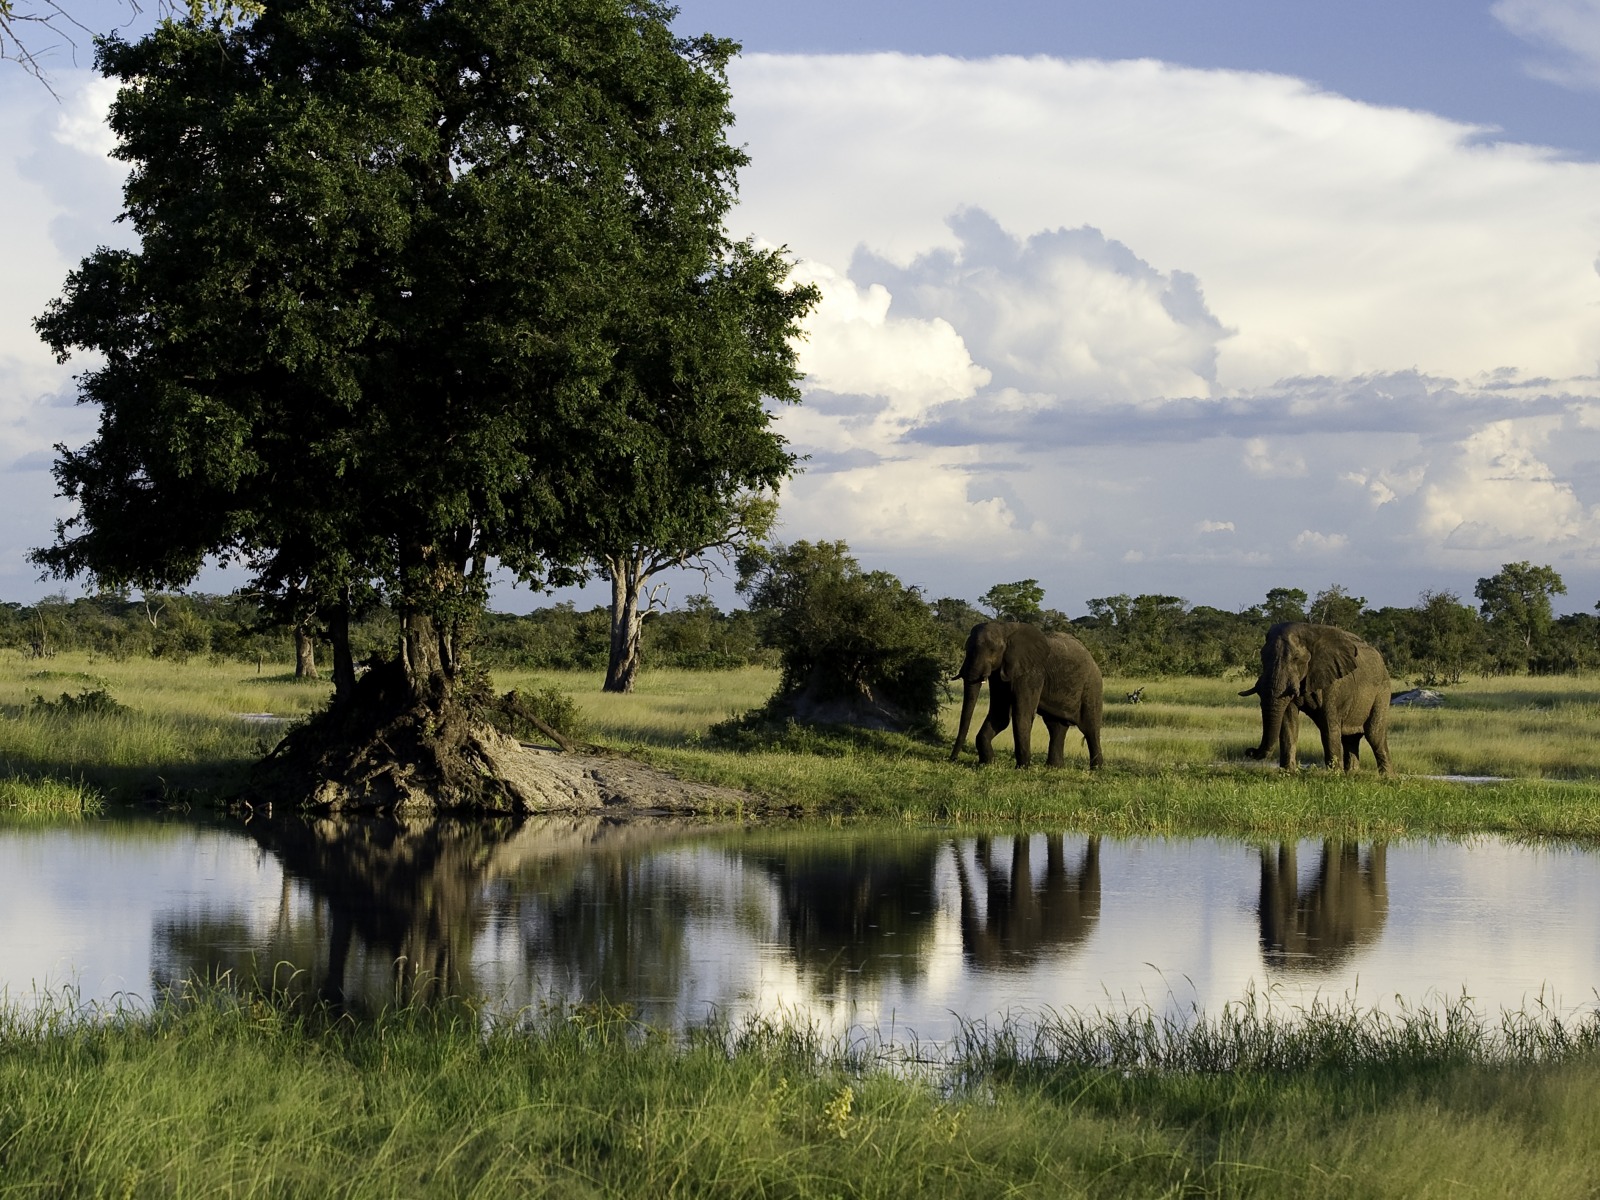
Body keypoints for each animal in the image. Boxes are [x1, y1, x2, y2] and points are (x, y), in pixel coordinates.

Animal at [950, 621, 1104, 769]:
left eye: (992, 650)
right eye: (966, 648)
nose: (952, 759)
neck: (1005, 628)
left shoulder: (1032, 672)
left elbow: (1022, 714)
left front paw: (1022, 768)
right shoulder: (999, 674)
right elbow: (999, 715)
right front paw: (987, 763)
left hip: (1092, 687)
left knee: (1091, 729)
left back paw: (1096, 769)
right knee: (1056, 727)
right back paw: (1054, 768)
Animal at [1240, 622, 1393, 774]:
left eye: (1296, 659)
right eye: (1262, 658)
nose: (1249, 751)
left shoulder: (1333, 683)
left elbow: (1328, 726)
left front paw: (1334, 775)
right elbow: (1289, 722)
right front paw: (1288, 773)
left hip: (1383, 691)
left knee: (1374, 734)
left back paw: (1386, 776)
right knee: (1350, 739)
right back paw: (1352, 774)